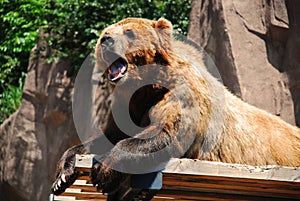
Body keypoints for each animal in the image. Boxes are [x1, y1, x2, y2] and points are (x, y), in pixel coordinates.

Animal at [51, 17, 300, 195]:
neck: (144, 86)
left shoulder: (179, 95)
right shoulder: (128, 105)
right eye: (105, 33)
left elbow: (165, 130)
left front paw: (103, 171)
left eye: (129, 31)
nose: (106, 40)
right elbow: (109, 135)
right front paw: (62, 174)